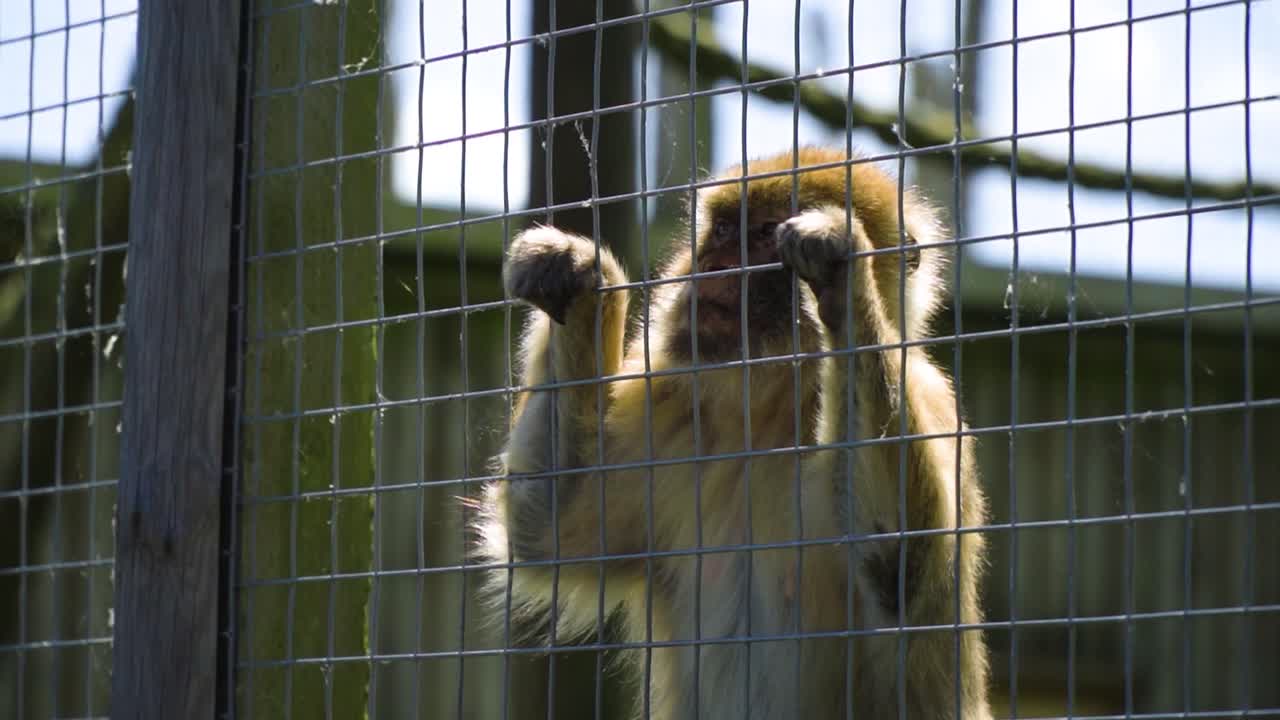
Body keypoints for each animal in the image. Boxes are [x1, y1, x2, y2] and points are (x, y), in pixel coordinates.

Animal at [473, 146, 991, 720]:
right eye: (722, 230)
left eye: (764, 234)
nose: (712, 267)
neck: (769, 409)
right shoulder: (672, 412)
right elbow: (547, 531)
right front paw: (582, 277)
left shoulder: (932, 401)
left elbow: (899, 571)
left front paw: (843, 276)